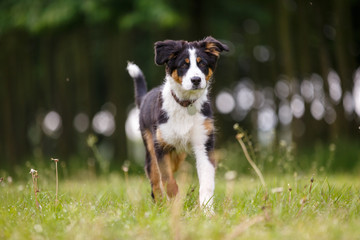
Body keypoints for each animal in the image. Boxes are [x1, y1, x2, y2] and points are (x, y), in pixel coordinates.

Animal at [126, 35, 228, 210]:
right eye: (183, 65)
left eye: (202, 63)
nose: (196, 80)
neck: (185, 104)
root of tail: (145, 97)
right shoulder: (161, 146)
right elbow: (167, 180)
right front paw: (175, 206)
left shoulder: (204, 143)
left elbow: (207, 182)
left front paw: (207, 211)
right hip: (151, 149)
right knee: (155, 180)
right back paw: (159, 205)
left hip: (178, 154)